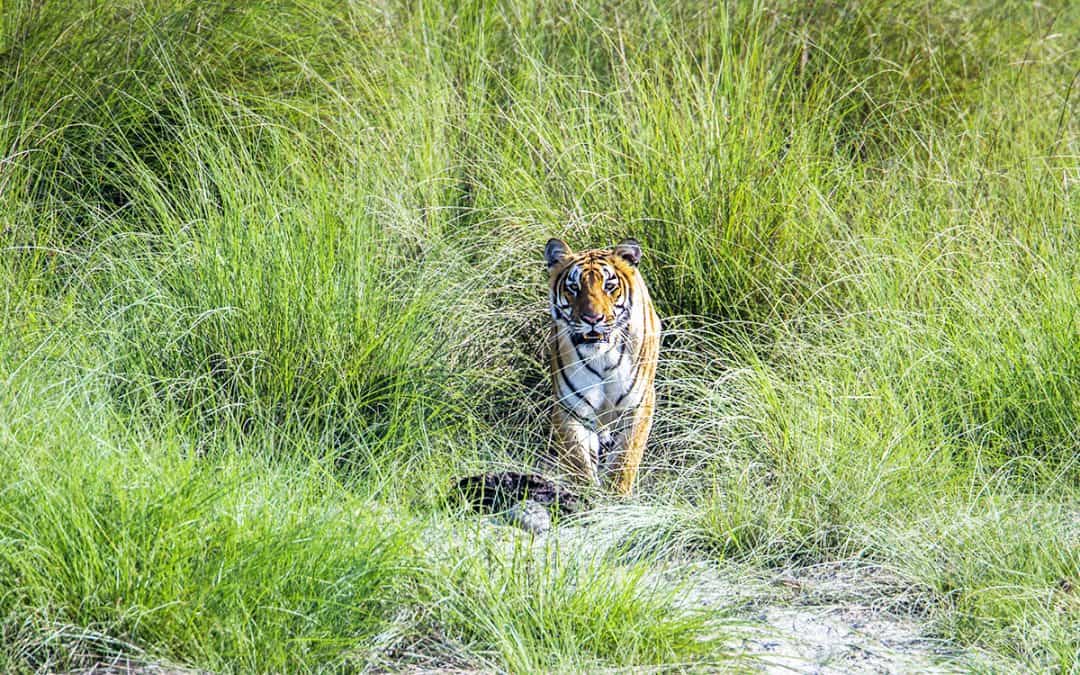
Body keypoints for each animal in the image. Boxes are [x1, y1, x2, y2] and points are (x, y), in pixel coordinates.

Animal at [545, 237, 661, 495]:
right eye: (574, 287)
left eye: (609, 286)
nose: (592, 319)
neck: (602, 358)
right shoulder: (571, 409)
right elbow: (578, 461)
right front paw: (586, 495)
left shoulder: (638, 406)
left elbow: (624, 461)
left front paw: (617, 497)